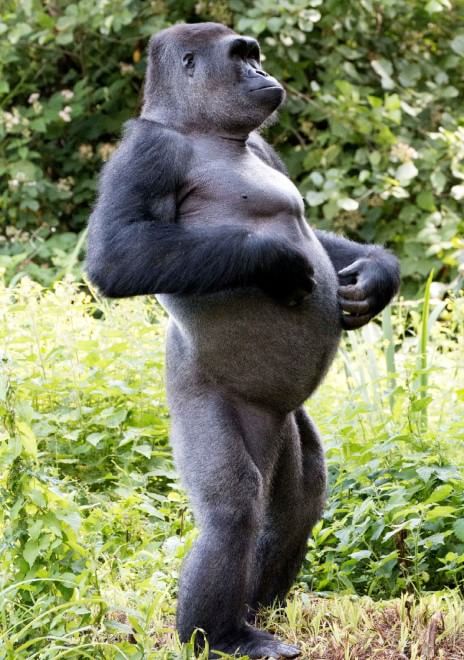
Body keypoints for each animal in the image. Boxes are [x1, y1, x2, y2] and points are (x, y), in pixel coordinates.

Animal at [86, 22, 400, 658]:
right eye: (241, 57)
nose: (262, 72)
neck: (200, 128)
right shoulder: (147, 151)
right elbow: (120, 254)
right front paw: (274, 261)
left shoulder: (262, 146)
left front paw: (377, 276)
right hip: (199, 400)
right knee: (232, 509)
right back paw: (219, 634)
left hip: (283, 423)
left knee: (301, 496)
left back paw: (265, 607)